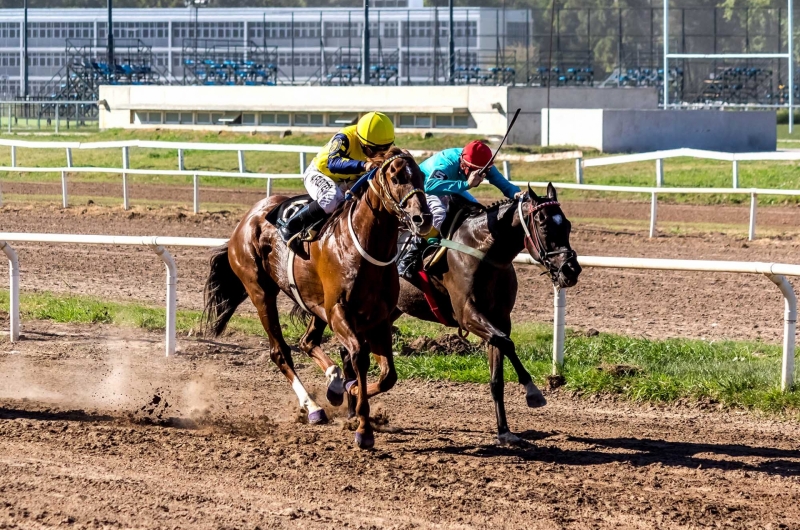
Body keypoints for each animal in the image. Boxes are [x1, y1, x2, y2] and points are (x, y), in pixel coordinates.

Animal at [205, 146, 432, 448]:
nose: (423, 219)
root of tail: (247, 218)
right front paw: (363, 426)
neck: (364, 248)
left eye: (420, 176)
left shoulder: (379, 317)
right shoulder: (339, 311)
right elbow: (359, 356)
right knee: (281, 351)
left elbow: (388, 376)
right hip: (260, 291)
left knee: (307, 341)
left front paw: (350, 394)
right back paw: (313, 407)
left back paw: (334, 385)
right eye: (396, 178)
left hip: (313, 302)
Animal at [392, 184, 580, 444]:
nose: (571, 270)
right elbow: (506, 342)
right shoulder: (467, 314)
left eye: (568, 225)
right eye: (543, 225)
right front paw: (533, 393)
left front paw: (505, 431)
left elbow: (497, 376)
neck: (482, 251)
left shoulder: (499, 318)